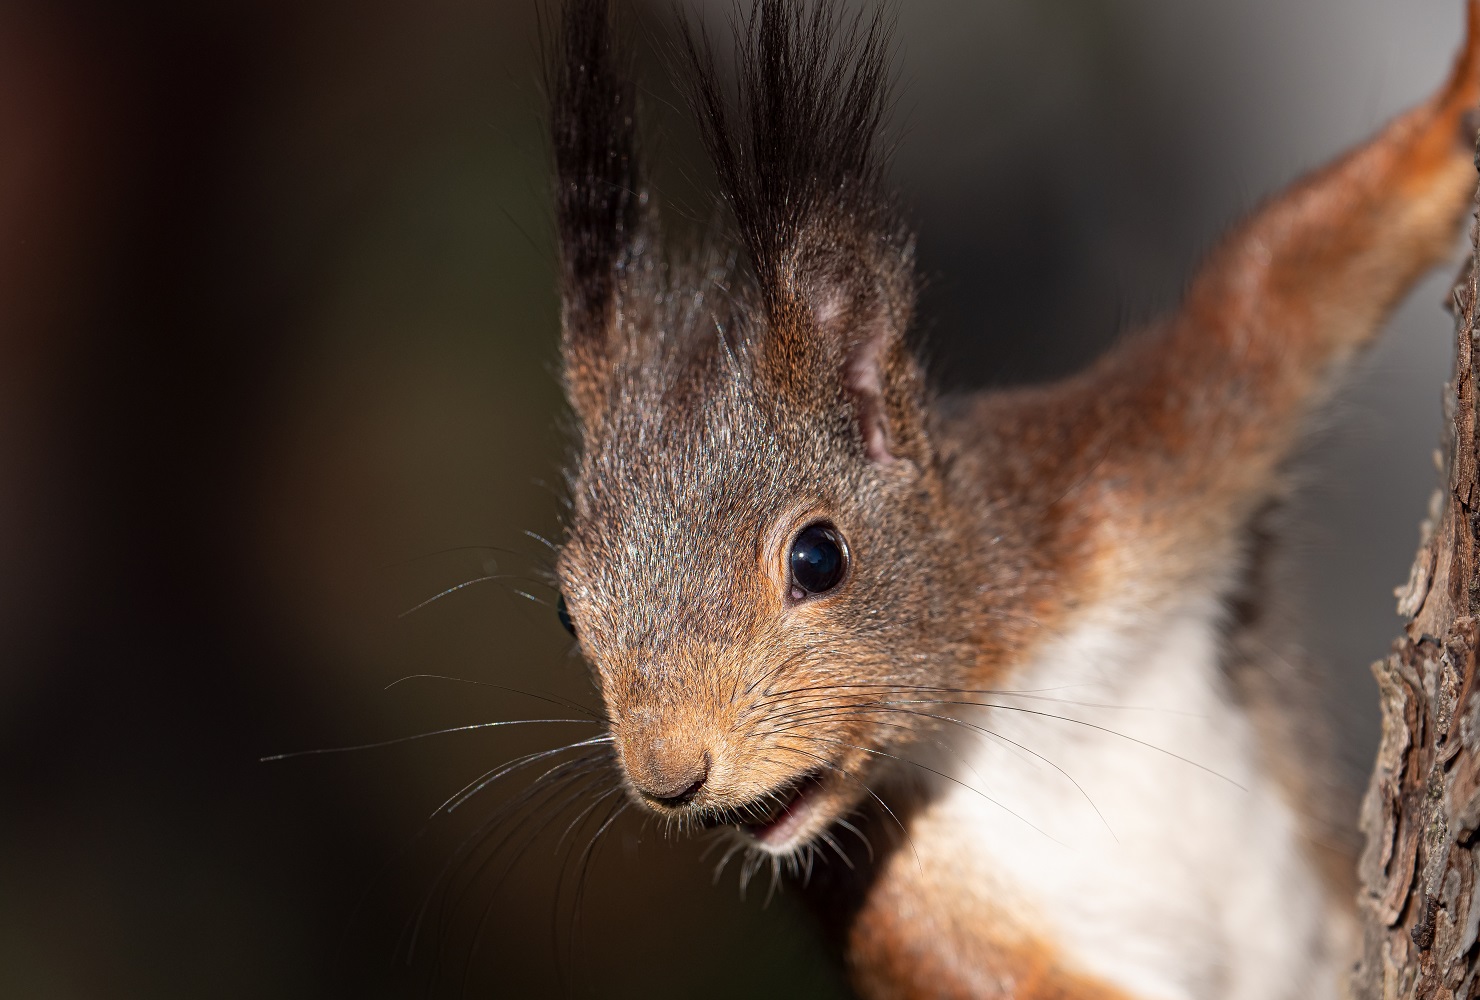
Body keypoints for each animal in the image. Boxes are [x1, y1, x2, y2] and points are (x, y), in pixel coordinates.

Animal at [541, 1, 1480, 999]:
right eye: (567, 611)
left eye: (818, 558)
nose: (668, 775)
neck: (991, 694)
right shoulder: (886, 881)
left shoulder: (1118, 480)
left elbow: (1267, 297)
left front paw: (1460, 94)